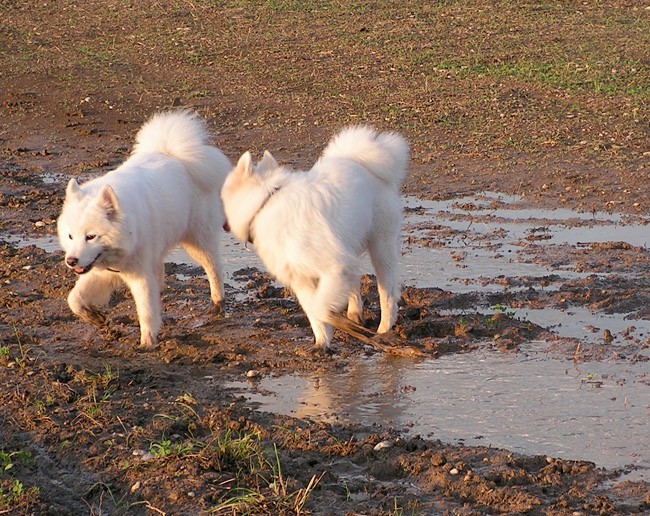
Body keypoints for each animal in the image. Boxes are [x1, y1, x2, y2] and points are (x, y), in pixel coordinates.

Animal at [57, 110, 230, 348]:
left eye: (90, 236)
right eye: (70, 236)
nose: (71, 261)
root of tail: (173, 154)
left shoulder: (139, 275)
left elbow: (146, 310)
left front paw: (147, 343)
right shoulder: (103, 271)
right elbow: (73, 299)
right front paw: (95, 318)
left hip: (198, 241)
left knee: (214, 269)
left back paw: (218, 301)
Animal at [220, 125, 408, 350]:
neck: (264, 204)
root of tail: (359, 161)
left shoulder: (333, 267)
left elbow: (318, 307)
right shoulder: (301, 278)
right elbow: (313, 311)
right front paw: (322, 343)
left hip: (380, 246)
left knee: (387, 292)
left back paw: (383, 329)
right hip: (350, 246)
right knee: (354, 282)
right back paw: (355, 315)